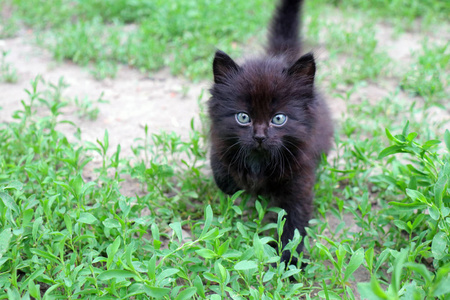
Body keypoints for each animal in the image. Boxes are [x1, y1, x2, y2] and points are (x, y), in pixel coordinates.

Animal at [208, 0, 334, 264]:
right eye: (243, 117)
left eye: (278, 119)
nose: (259, 136)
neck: (260, 162)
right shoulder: (220, 141)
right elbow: (221, 171)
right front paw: (238, 190)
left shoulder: (301, 173)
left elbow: (295, 223)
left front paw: (289, 260)